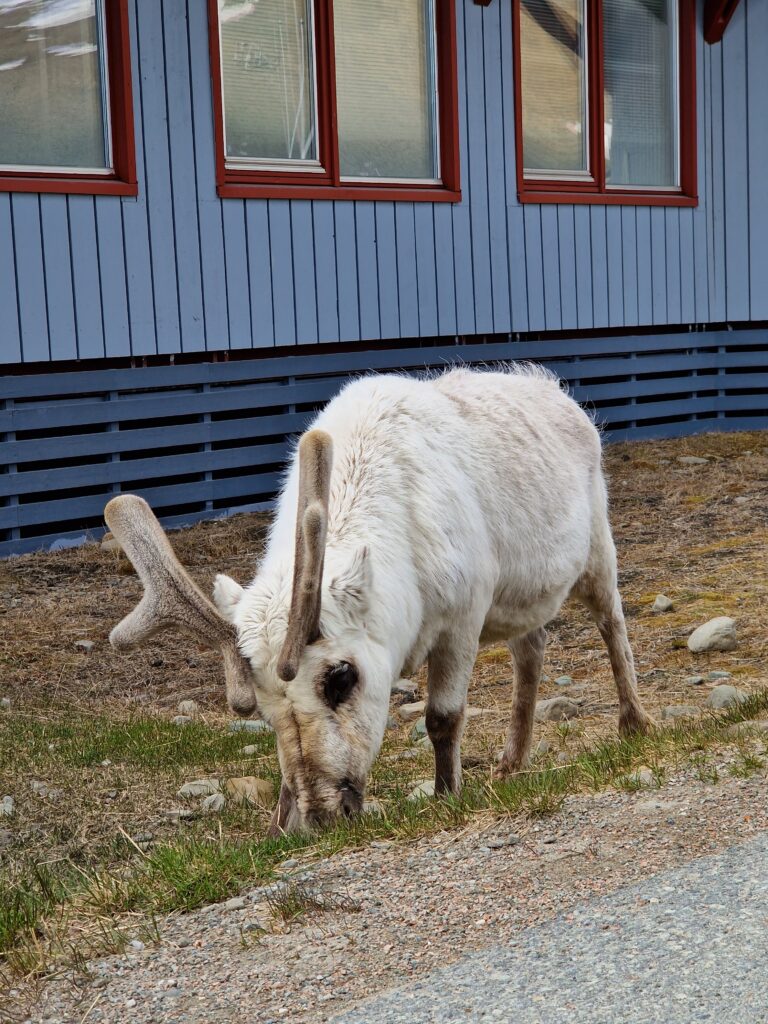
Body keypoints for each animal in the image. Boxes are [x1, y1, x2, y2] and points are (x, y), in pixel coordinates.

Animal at [105, 366, 653, 835]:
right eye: (258, 706)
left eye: (340, 678)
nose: (326, 815)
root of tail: (559, 394)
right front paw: (279, 826)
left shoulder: (463, 617)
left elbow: (442, 718)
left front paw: (447, 795)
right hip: (522, 598)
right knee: (532, 647)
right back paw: (510, 762)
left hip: (597, 547)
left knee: (612, 621)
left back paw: (634, 724)